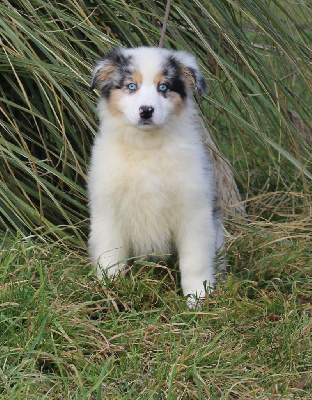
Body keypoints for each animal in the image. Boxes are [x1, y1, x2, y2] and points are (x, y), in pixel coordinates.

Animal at [88, 46, 224, 306]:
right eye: (131, 86)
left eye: (163, 87)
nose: (146, 111)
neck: (146, 148)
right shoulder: (109, 213)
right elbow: (110, 258)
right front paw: (111, 292)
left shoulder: (194, 211)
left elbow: (195, 261)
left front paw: (197, 298)